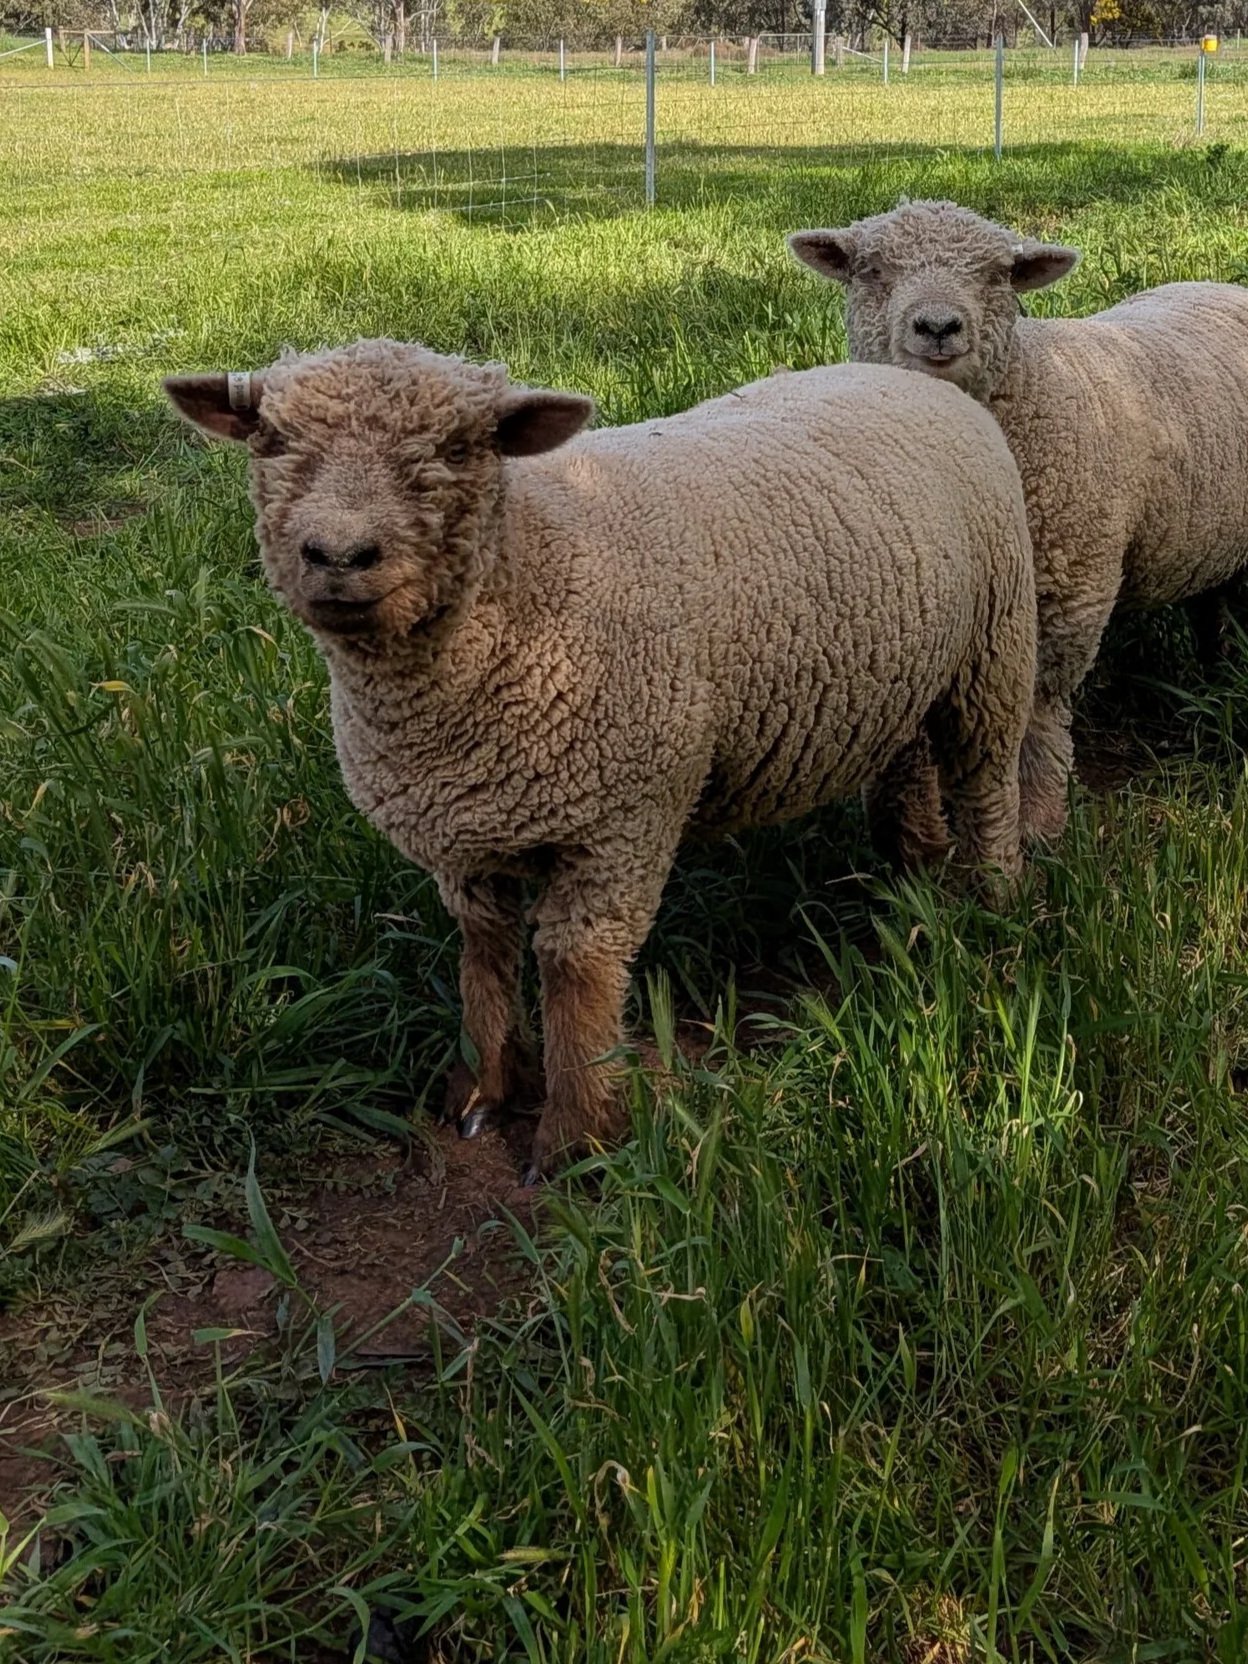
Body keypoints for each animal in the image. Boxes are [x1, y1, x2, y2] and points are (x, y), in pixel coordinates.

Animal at [165, 338, 1036, 1180]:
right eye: (269, 439)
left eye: (457, 447)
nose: (340, 555)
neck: (528, 572)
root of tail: (906, 376)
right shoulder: (466, 836)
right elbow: (483, 949)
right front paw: (484, 1086)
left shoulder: (621, 822)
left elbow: (575, 966)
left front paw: (576, 1134)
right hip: (908, 675)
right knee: (910, 763)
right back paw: (912, 873)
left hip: (994, 648)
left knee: (987, 781)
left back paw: (990, 908)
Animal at [789, 199, 1248, 844]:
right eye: (872, 270)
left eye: (997, 275)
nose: (937, 327)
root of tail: (1220, 285)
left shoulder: (1069, 592)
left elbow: (1039, 710)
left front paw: (1039, 819)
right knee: (1213, 603)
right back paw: (1216, 669)